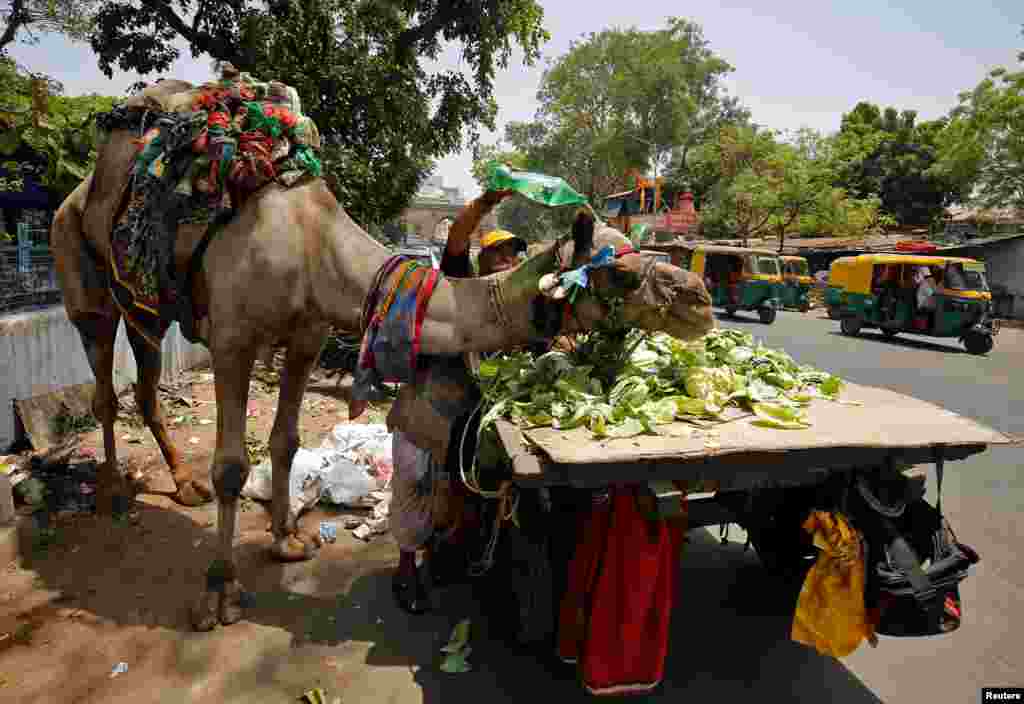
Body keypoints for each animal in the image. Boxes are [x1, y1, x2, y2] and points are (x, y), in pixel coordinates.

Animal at [51, 78, 716, 634]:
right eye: (619, 274)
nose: (700, 298)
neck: (312, 248)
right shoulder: (233, 339)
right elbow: (233, 467)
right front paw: (219, 593)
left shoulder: (307, 335)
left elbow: (285, 441)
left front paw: (286, 540)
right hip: (79, 270)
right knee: (103, 384)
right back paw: (112, 490)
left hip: (147, 306)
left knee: (144, 380)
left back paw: (181, 485)